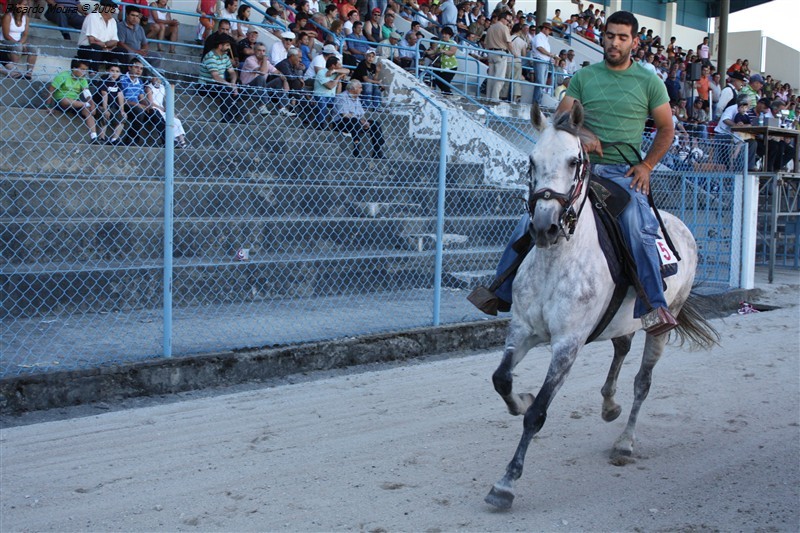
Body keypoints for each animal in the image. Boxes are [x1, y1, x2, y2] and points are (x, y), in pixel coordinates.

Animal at [484, 102, 720, 510]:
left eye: (574, 161)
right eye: (531, 160)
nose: (544, 227)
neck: (558, 261)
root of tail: (682, 228)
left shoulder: (567, 344)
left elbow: (537, 414)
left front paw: (506, 483)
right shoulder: (522, 330)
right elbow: (502, 380)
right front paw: (520, 399)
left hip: (662, 323)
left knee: (643, 382)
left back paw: (624, 443)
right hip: (621, 322)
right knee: (621, 348)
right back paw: (610, 406)